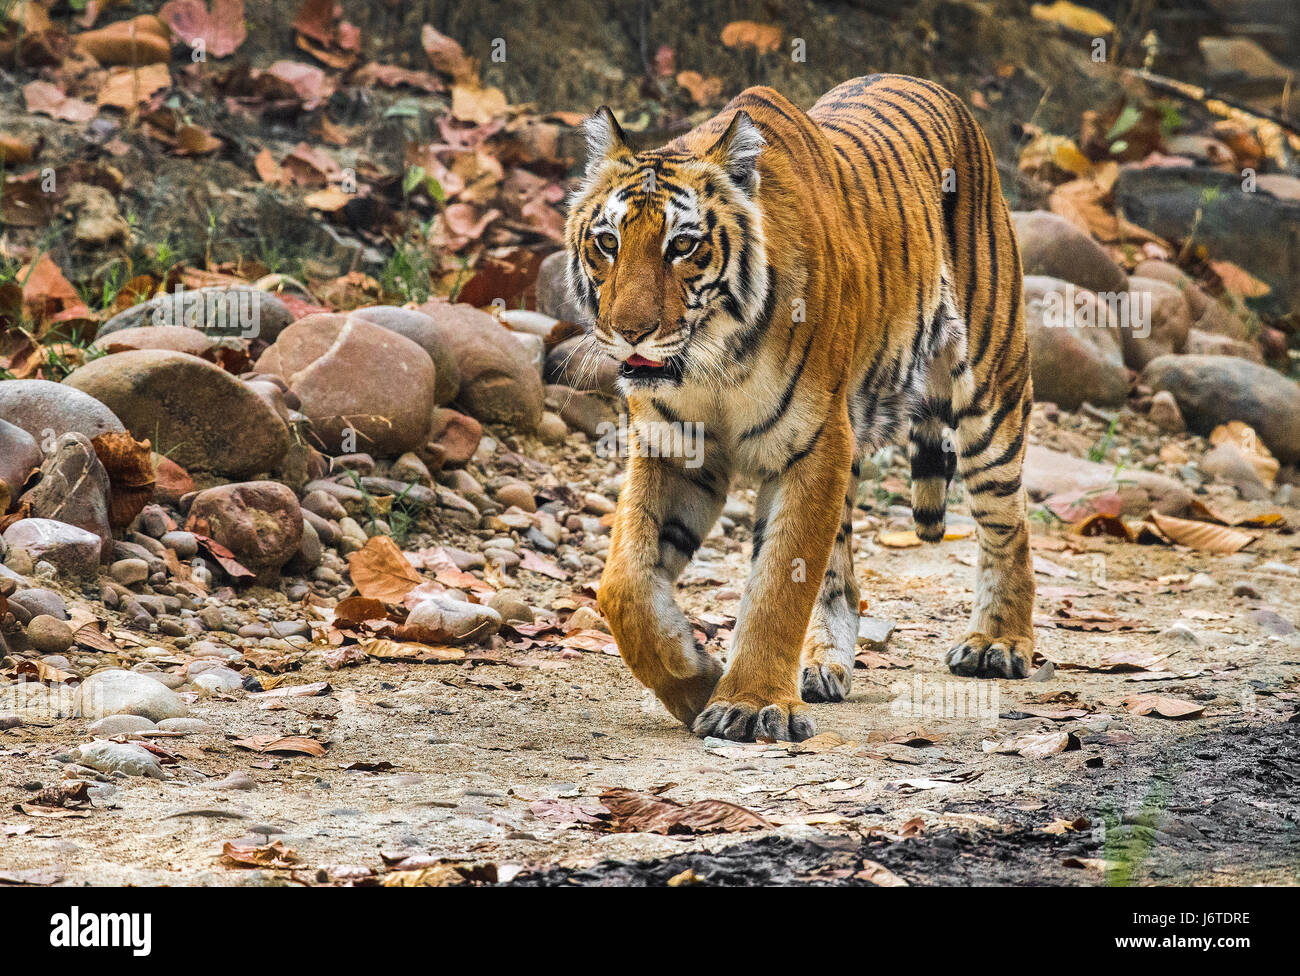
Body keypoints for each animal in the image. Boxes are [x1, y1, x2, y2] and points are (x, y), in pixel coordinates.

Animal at [566, 76, 1034, 743]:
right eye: (607, 242)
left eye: (683, 246)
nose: (631, 332)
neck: (713, 360)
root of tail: (930, 85)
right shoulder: (673, 446)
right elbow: (625, 584)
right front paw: (695, 677)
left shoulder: (813, 444)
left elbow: (780, 583)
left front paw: (750, 703)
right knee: (841, 571)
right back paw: (822, 665)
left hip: (989, 393)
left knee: (1007, 523)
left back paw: (998, 643)